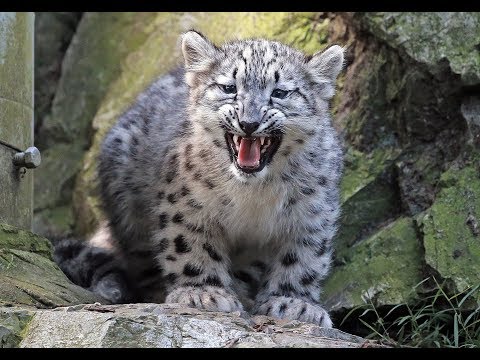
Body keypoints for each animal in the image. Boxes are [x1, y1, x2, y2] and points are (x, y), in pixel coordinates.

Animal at [54, 30, 344, 330]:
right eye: (229, 87)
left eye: (280, 92)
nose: (249, 122)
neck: (254, 193)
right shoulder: (188, 205)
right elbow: (190, 247)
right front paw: (203, 293)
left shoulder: (311, 213)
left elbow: (302, 257)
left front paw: (293, 302)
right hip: (130, 211)